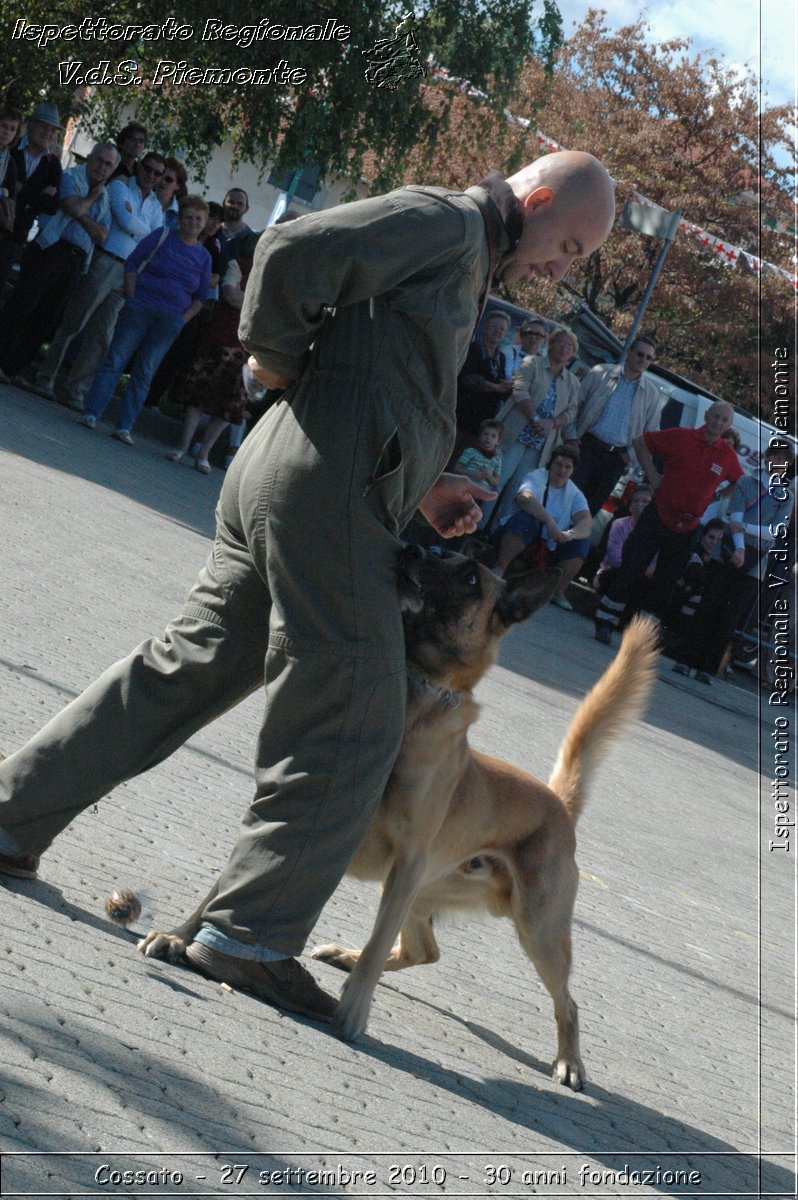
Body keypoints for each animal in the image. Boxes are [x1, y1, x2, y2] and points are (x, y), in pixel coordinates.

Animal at [139, 549, 657, 1094]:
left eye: (469, 576)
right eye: (455, 552)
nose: (421, 548)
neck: (413, 690)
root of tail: (557, 802)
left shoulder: (406, 861)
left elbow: (373, 945)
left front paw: (352, 1012)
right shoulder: (283, 811)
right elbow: (222, 890)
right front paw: (179, 936)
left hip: (535, 930)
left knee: (567, 1003)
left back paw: (569, 1061)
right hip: (424, 896)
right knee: (424, 950)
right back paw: (341, 955)